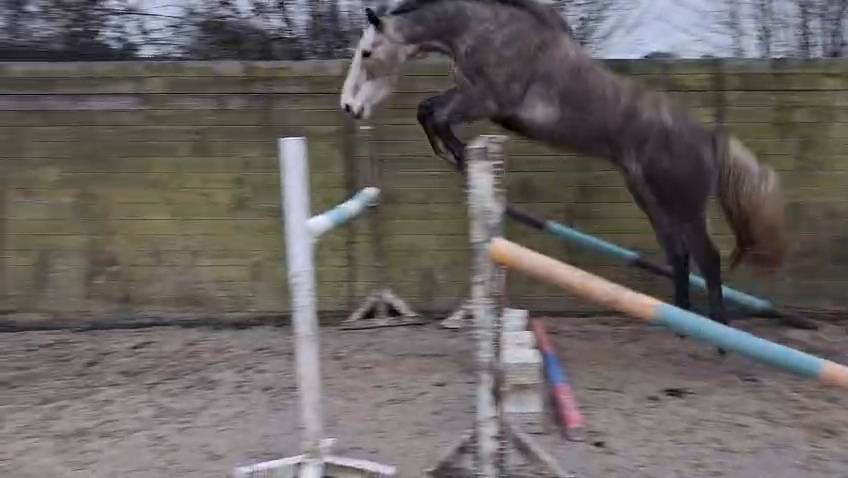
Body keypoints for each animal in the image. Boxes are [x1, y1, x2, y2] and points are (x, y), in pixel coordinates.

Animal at [339, 0, 788, 349]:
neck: (486, 30)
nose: (349, 107)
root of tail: (710, 137)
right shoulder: (473, 98)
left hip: (684, 204)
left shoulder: (486, 100)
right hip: (647, 195)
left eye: (366, 53)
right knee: (678, 254)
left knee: (707, 258)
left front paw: (458, 155)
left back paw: (721, 338)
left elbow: (433, 113)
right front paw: (456, 156)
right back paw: (681, 325)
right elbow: (428, 110)